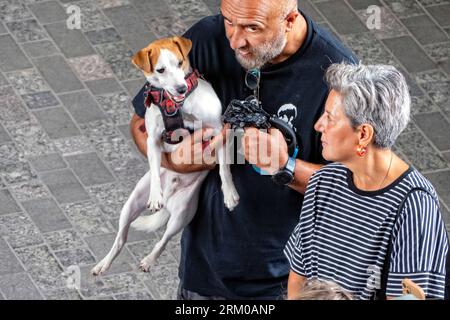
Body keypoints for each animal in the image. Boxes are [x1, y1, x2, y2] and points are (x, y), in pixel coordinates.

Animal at [90, 35, 239, 276]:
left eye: (180, 63)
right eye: (160, 70)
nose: (180, 88)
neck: (177, 105)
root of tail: (171, 196)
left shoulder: (219, 130)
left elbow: (225, 169)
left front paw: (230, 194)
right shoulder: (152, 139)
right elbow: (154, 165)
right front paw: (155, 195)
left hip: (181, 215)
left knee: (164, 240)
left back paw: (149, 260)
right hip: (130, 205)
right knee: (121, 239)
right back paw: (105, 263)